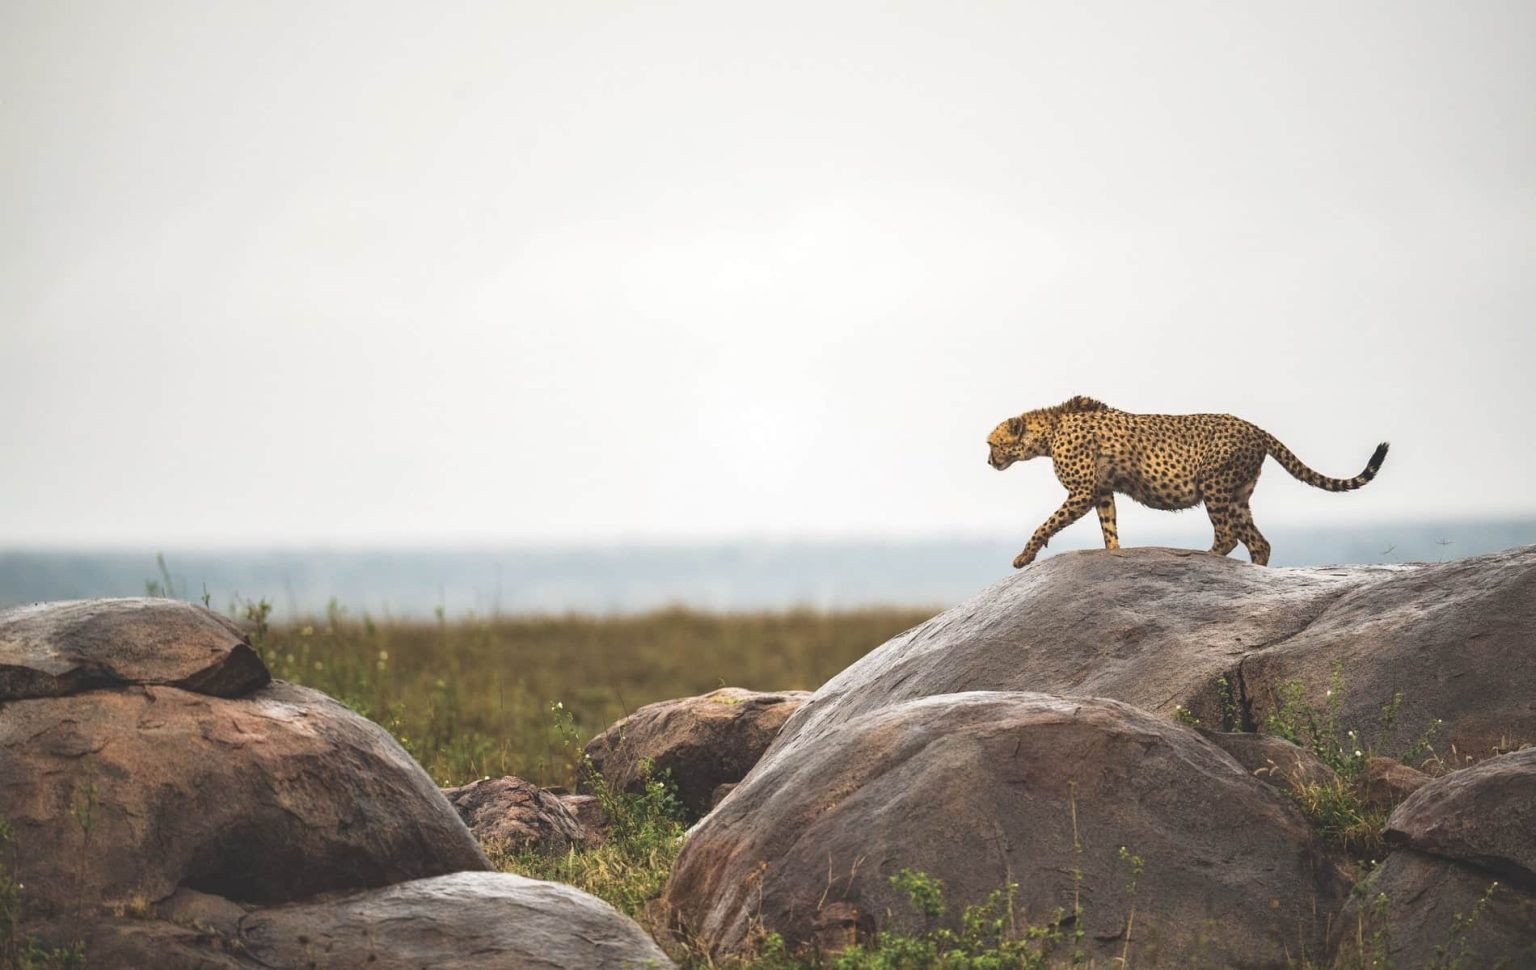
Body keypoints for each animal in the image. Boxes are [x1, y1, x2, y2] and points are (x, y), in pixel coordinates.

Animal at [986, 395, 1388, 568]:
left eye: (991, 444)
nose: (988, 461)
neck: (1049, 430)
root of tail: (1254, 427)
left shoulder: (1083, 492)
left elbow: (1046, 524)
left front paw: (1023, 557)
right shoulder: (1100, 492)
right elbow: (1109, 528)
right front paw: (1114, 553)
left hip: (1215, 485)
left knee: (1227, 536)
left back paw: (1203, 556)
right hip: (1238, 494)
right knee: (1258, 542)